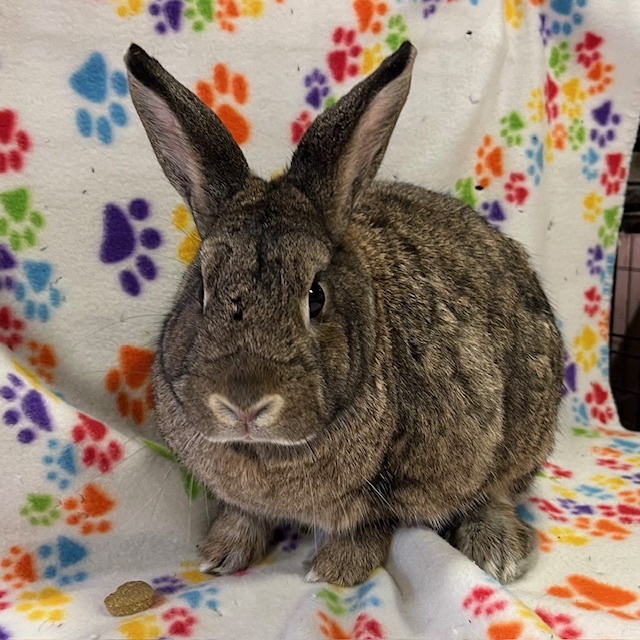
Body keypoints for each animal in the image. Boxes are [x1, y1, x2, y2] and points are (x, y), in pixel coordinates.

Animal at [124, 41, 564, 587]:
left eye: (316, 296)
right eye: (202, 288)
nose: (243, 404)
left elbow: (372, 520)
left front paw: (334, 570)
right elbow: (245, 512)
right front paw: (221, 553)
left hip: (526, 426)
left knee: (500, 489)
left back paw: (497, 552)